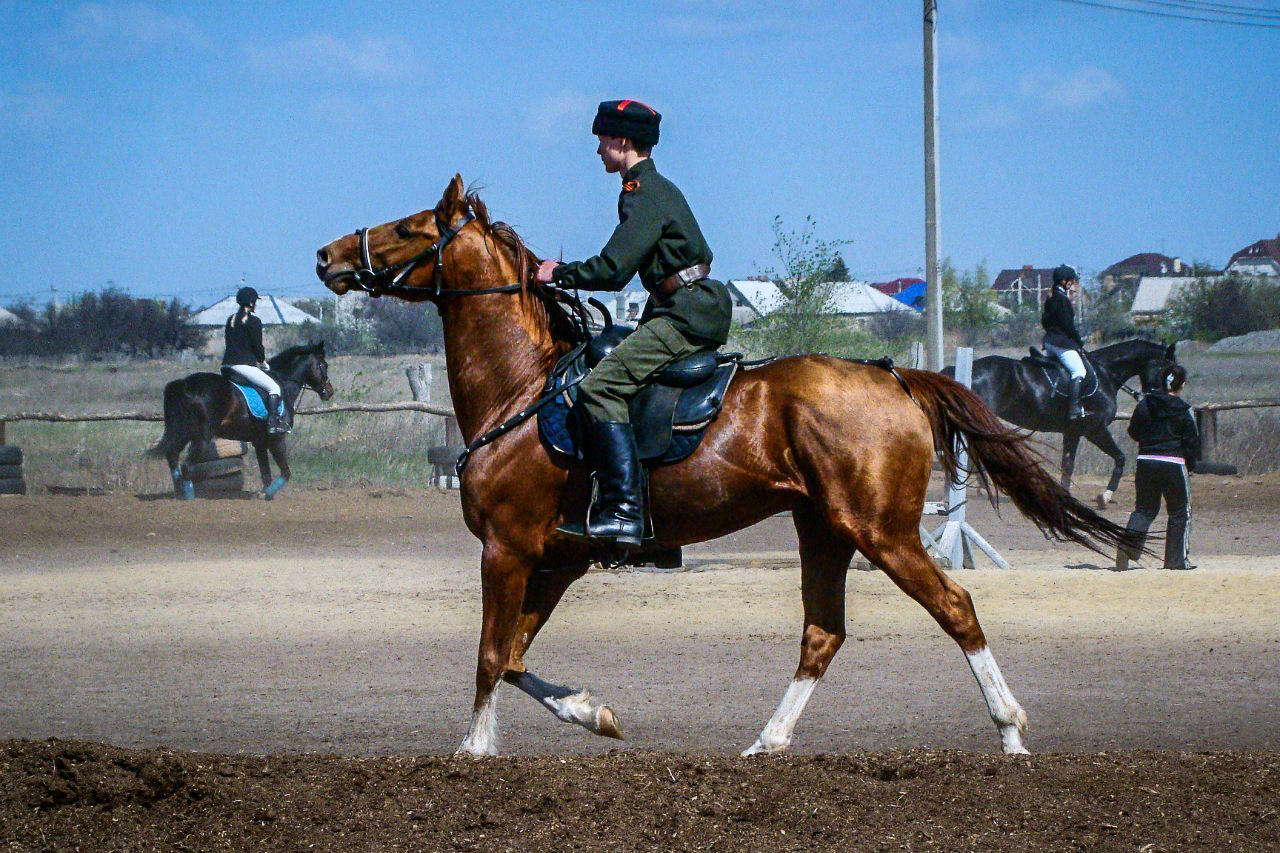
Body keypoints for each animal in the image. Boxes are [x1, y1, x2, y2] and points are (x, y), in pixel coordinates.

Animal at [148, 340, 335, 499]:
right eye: (323, 365)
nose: (329, 391)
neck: (284, 384)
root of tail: (184, 384)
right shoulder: (277, 438)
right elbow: (286, 472)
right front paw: (266, 494)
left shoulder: (260, 442)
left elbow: (266, 473)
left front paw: (266, 494)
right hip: (201, 437)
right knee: (186, 465)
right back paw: (188, 498)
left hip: (184, 432)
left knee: (172, 456)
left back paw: (179, 493)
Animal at [314, 175, 1136, 753]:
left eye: (409, 227)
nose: (326, 256)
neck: (522, 387)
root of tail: (894, 376)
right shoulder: (555, 559)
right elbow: (514, 656)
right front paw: (595, 713)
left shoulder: (507, 549)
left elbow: (490, 654)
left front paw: (477, 749)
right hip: (824, 530)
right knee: (821, 634)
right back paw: (766, 742)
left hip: (883, 533)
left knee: (956, 609)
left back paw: (1010, 730)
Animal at [947, 335, 1172, 504]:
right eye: (1169, 372)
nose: (1159, 400)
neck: (1106, 374)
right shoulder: (1095, 429)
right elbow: (1120, 458)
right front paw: (1105, 497)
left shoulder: (1073, 432)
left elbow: (1068, 464)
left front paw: (1065, 495)